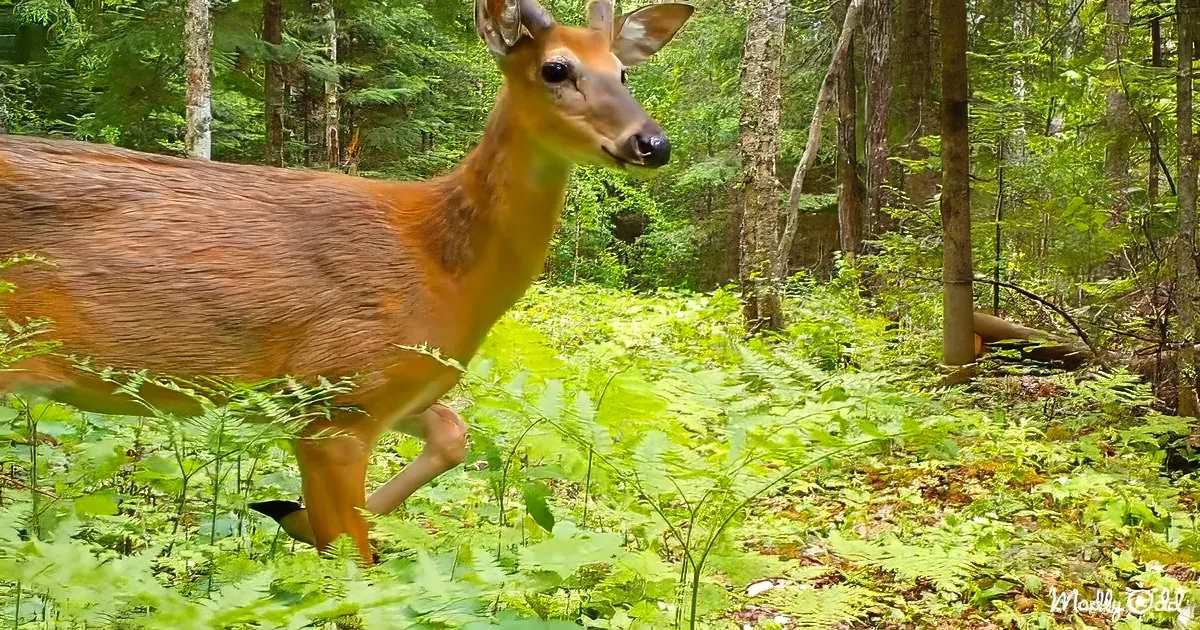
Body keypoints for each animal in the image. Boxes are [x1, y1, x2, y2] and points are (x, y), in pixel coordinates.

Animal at [0, 0, 693, 562]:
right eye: (555, 69)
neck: (444, 270)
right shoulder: (338, 394)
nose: (652, 143)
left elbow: (453, 434)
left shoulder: (394, 387)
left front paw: (291, 516)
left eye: (623, 71)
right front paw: (307, 524)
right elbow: (354, 566)